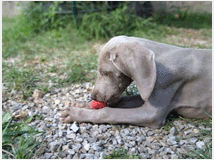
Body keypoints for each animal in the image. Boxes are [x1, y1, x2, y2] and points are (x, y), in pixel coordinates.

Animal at [61, 35, 211, 129]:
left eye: (105, 72)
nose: (93, 96)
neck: (157, 66)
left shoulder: (152, 114)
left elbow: (108, 112)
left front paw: (74, 113)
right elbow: (123, 100)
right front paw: (82, 104)